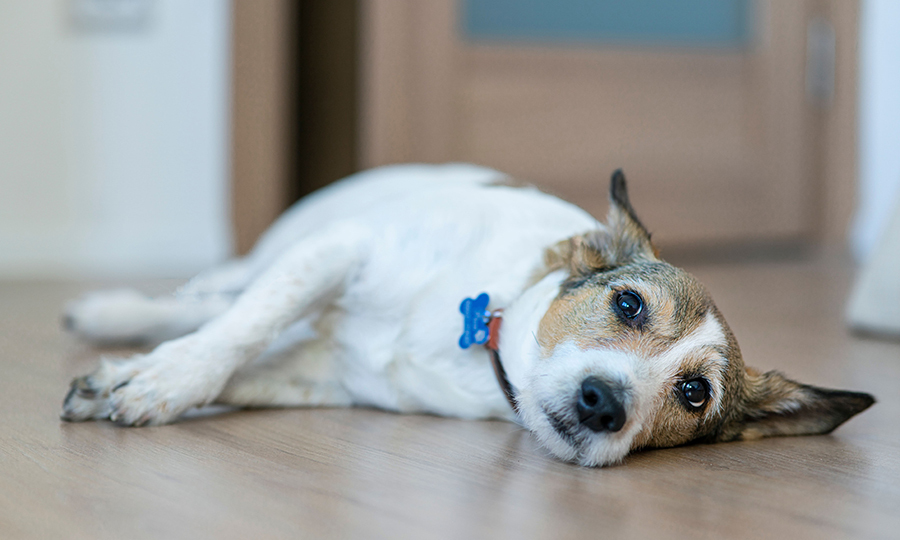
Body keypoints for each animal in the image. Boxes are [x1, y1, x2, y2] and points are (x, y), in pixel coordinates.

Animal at [61, 162, 872, 466]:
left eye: (695, 392)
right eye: (628, 303)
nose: (602, 403)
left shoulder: (323, 374)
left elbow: (247, 364)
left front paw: (134, 384)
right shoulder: (342, 250)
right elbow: (238, 332)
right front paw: (163, 381)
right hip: (274, 255)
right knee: (209, 302)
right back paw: (112, 313)